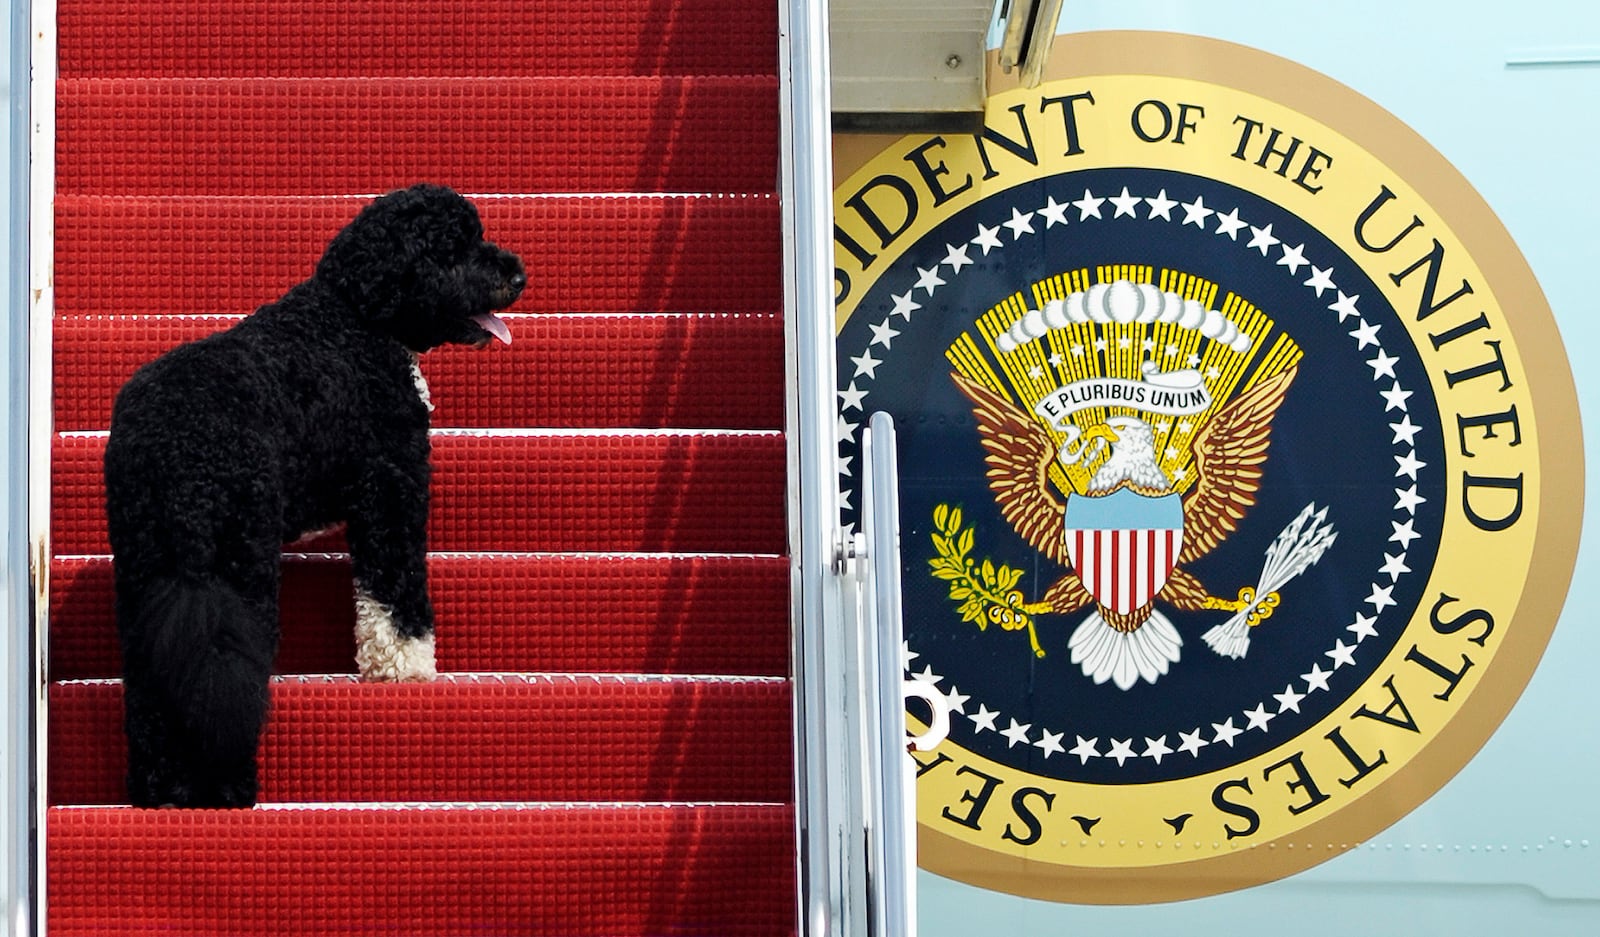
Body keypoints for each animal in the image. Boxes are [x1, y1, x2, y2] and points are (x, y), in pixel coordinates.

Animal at [104, 182, 524, 802]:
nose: (518, 273)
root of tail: (180, 458)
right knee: (230, 677)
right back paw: (229, 790)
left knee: (155, 687)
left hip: (145, 564)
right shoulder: (391, 487)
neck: (356, 316)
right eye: (456, 247)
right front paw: (406, 667)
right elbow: (395, 594)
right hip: (241, 559)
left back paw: (161, 792)